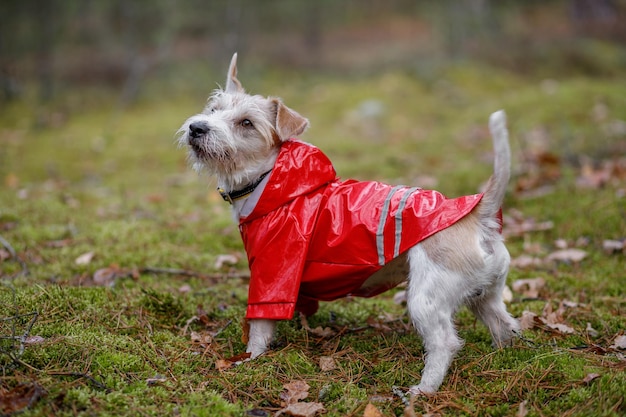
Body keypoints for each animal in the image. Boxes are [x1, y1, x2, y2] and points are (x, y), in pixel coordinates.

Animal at [176, 52, 516, 394]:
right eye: (214, 109)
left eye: (246, 123)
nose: (197, 127)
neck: (267, 179)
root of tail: (480, 213)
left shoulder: (273, 273)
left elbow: (260, 325)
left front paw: (251, 360)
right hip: (486, 296)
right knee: (506, 325)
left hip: (426, 299)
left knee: (444, 342)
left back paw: (422, 390)